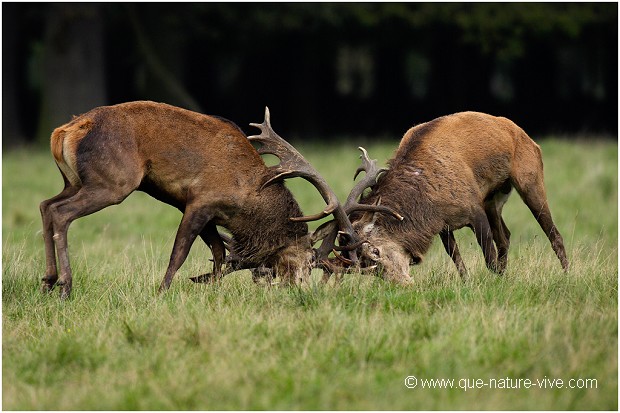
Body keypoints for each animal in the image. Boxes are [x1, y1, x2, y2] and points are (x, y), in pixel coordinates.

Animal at [40, 101, 358, 298]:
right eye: (310, 261)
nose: (302, 291)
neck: (247, 201)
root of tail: (64, 131)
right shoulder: (201, 201)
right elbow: (179, 253)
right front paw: (161, 293)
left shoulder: (209, 214)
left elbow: (218, 253)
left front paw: (212, 290)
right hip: (113, 182)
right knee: (61, 212)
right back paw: (65, 286)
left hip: (74, 182)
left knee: (46, 205)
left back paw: (47, 281)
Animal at [318, 111, 568, 282]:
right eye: (365, 268)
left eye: (375, 252)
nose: (401, 283)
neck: (429, 200)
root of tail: (524, 135)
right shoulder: (442, 224)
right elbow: (457, 259)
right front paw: (469, 282)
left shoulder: (473, 208)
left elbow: (489, 258)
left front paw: (492, 282)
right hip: (493, 199)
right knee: (505, 236)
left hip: (530, 179)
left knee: (553, 234)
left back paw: (566, 275)